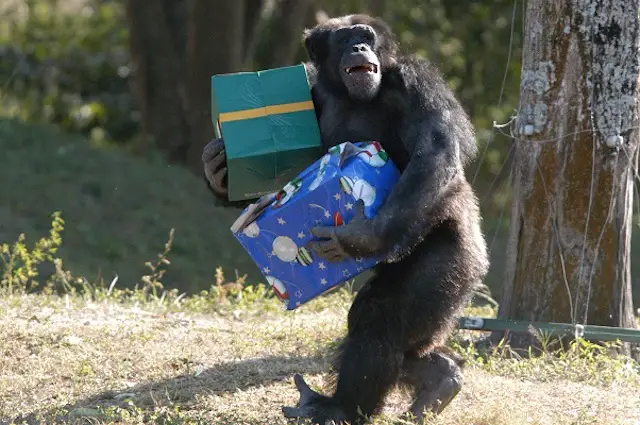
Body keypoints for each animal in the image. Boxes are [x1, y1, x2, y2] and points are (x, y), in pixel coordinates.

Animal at [204, 13, 490, 424]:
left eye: (365, 34)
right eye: (344, 39)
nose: (358, 46)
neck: (349, 95)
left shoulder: (418, 81)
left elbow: (435, 147)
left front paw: (361, 238)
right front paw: (217, 167)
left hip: (455, 262)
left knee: (378, 317)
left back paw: (340, 406)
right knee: (402, 343)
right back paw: (439, 378)